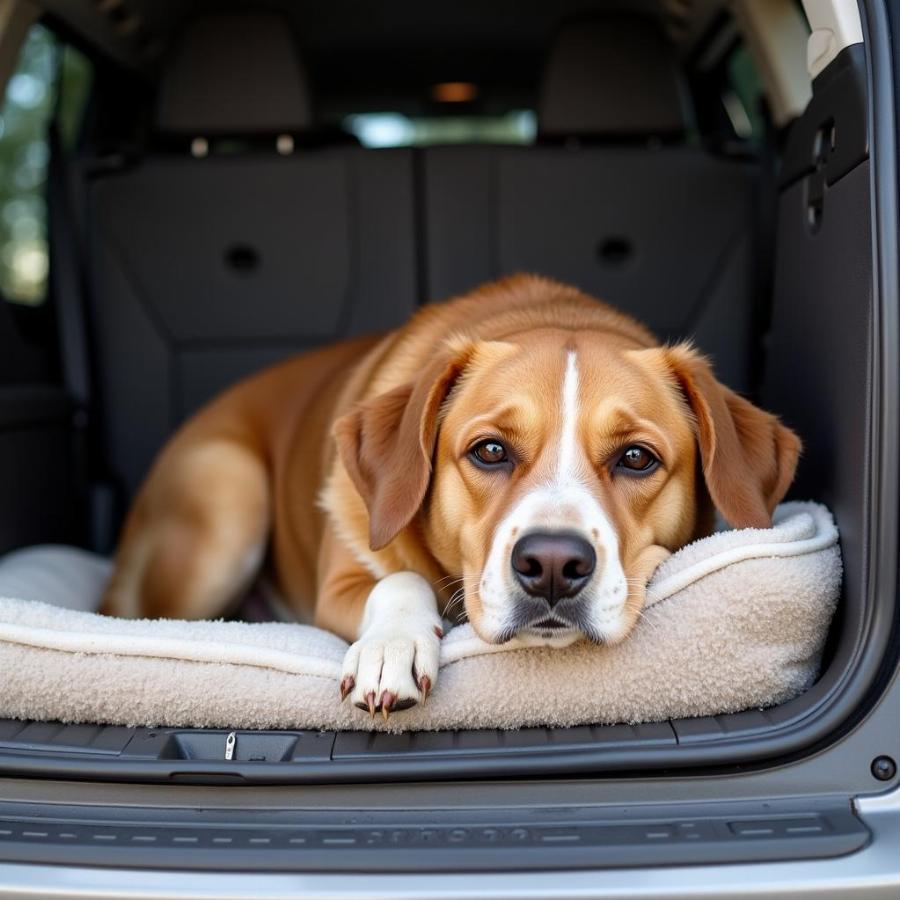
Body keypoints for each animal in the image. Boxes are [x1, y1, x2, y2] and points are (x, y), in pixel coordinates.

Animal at [102, 274, 800, 716]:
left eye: (636, 458)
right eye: (489, 451)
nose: (552, 565)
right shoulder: (340, 585)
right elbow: (398, 579)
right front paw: (392, 647)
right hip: (230, 499)